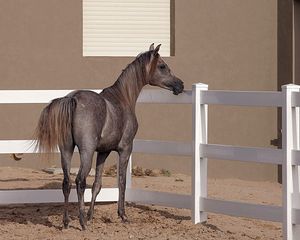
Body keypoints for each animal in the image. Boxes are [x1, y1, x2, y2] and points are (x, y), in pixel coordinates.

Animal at [34, 44, 184, 230]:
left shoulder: (103, 152)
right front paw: (122, 215)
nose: (180, 85)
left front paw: (91, 215)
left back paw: (67, 222)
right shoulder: (125, 149)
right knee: (80, 181)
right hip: (86, 152)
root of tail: (73, 99)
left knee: (67, 183)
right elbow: (121, 182)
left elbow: (97, 185)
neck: (123, 98)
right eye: (162, 66)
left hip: (66, 150)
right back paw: (82, 223)